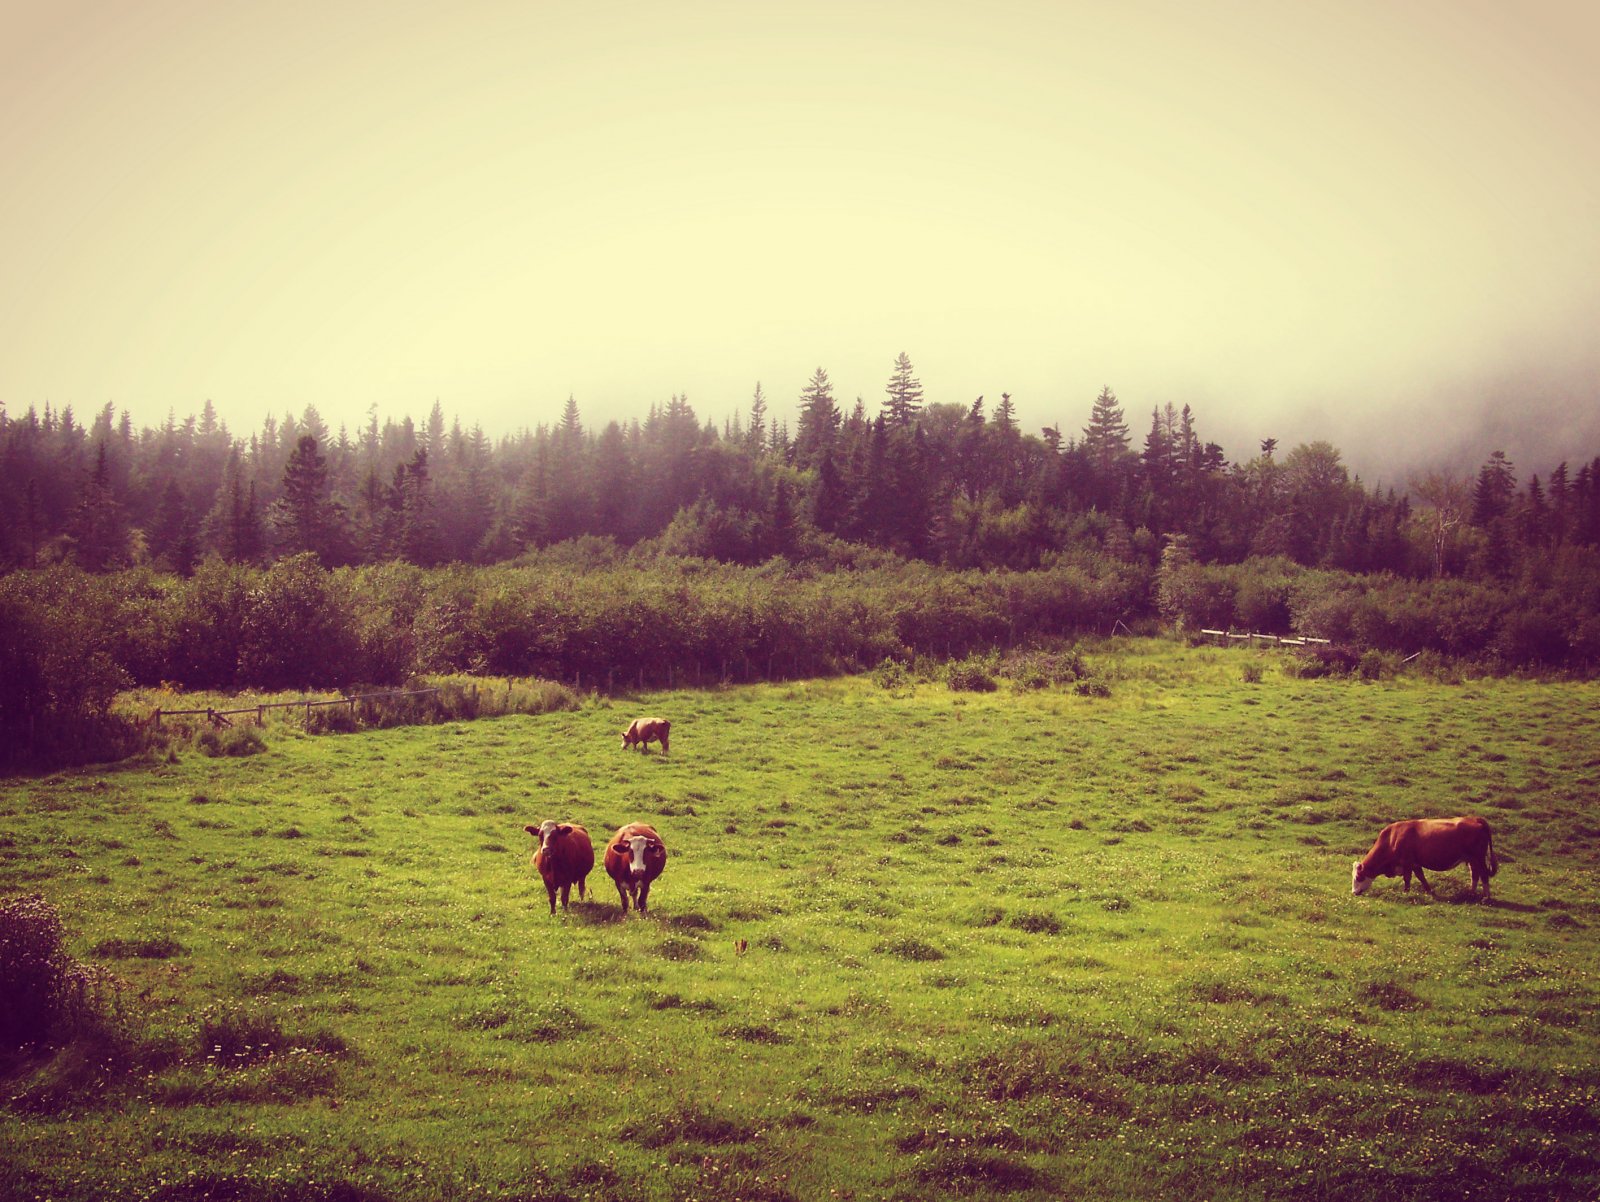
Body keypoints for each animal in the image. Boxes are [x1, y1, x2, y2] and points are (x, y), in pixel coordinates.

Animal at [1350, 819, 1497, 902]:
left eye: (1357, 877)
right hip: (1472, 859)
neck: (1392, 838)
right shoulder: (1415, 863)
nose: (1354, 892)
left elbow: (1407, 878)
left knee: (1484, 874)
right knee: (1475, 874)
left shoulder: (1407, 861)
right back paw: (1471, 894)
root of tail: (1477, 820)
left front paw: (1406, 893)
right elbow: (1421, 877)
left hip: (1479, 857)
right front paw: (1429, 891)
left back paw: (1486, 898)